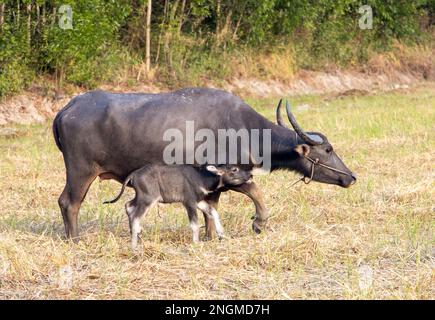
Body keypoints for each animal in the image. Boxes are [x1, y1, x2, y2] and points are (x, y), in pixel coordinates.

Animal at [52, 87, 356, 240]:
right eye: (328, 149)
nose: (350, 177)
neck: (243, 128)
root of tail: (67, 109)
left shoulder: (211, 185)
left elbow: (212, 207)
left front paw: (211, 235)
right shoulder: (230, 173)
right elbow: (256, 191)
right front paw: (259, 223)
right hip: (81, 170)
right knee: (69, 202)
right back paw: (75, 238)